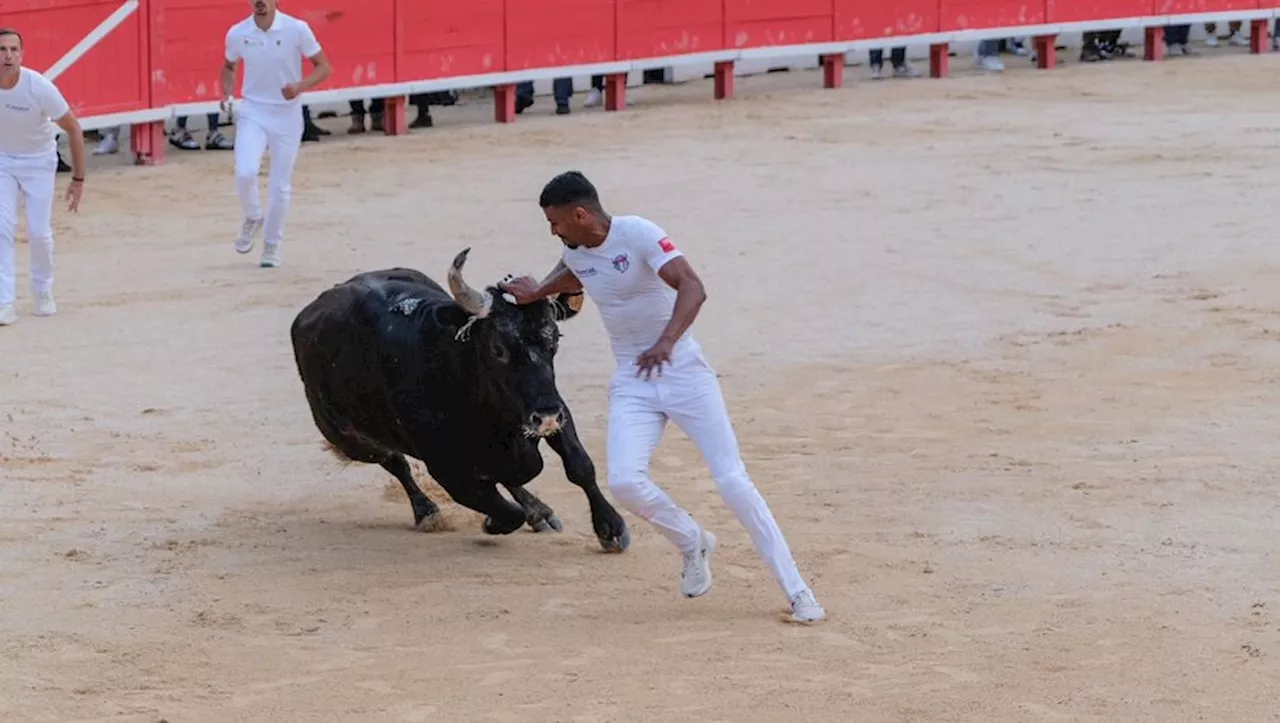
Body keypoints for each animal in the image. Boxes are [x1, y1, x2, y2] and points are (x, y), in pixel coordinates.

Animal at [289, 248, 629, 552]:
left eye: (554, 340)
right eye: (498, 349)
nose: (545, 417)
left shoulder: (555, 410)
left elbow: (579, 465)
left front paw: (611, 528)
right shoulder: (446, 469)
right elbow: (503, 508)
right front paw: (492, 523)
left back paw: (540, 512)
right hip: (348, 438)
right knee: (395, 462)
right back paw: (427, 512)